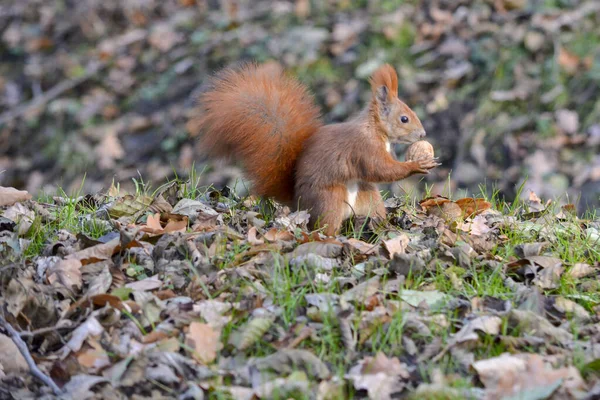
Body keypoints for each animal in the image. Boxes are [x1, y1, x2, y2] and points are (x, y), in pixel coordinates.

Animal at [195, 62, 438, 236]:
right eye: (404, 118)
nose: (423, 134)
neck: (376, 130)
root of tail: (298, 202)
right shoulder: (363, 148)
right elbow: (380, 169)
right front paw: (417, 165)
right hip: (329, 199)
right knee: (325, 227)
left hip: (367, 198)